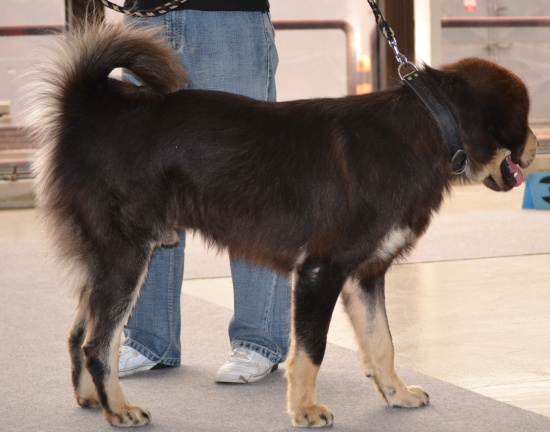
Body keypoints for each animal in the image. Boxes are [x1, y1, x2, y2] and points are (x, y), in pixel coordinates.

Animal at [21, 23, 540, 428]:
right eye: (527, 118)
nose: (537, 146)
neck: (428, 130)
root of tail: (87, 109)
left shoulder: (365, 273)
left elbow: (383, 342)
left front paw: (396, 393)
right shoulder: (320, 270)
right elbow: (311, 349)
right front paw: (305, 409)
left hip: (107, 259)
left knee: (78, 333)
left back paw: (91, 399)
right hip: (127, 255)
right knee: (98, 342)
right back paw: (119, 409)